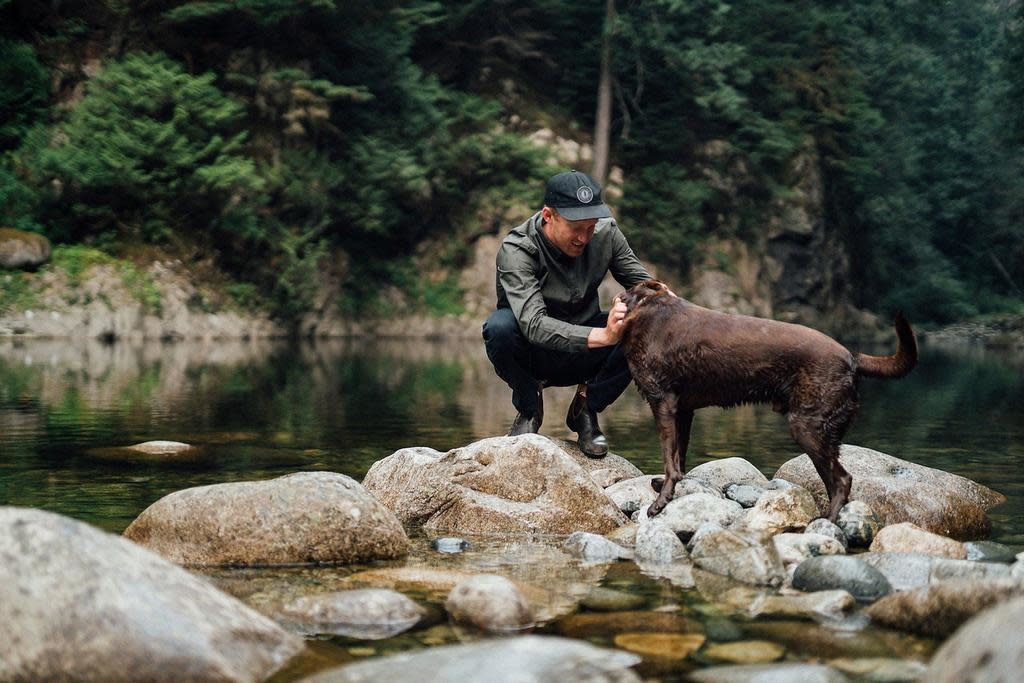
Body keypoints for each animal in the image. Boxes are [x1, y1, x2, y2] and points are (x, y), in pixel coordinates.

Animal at [614, 280, 921, 520]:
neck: (648, 311)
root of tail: (852, 357)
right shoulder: (684, 410)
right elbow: (679, 456)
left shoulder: (663, 404)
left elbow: (670, 460)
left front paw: (660, 502)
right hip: (819, 435)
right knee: (834, 479)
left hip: (807, 428)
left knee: (842, 480)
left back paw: (828, 521)